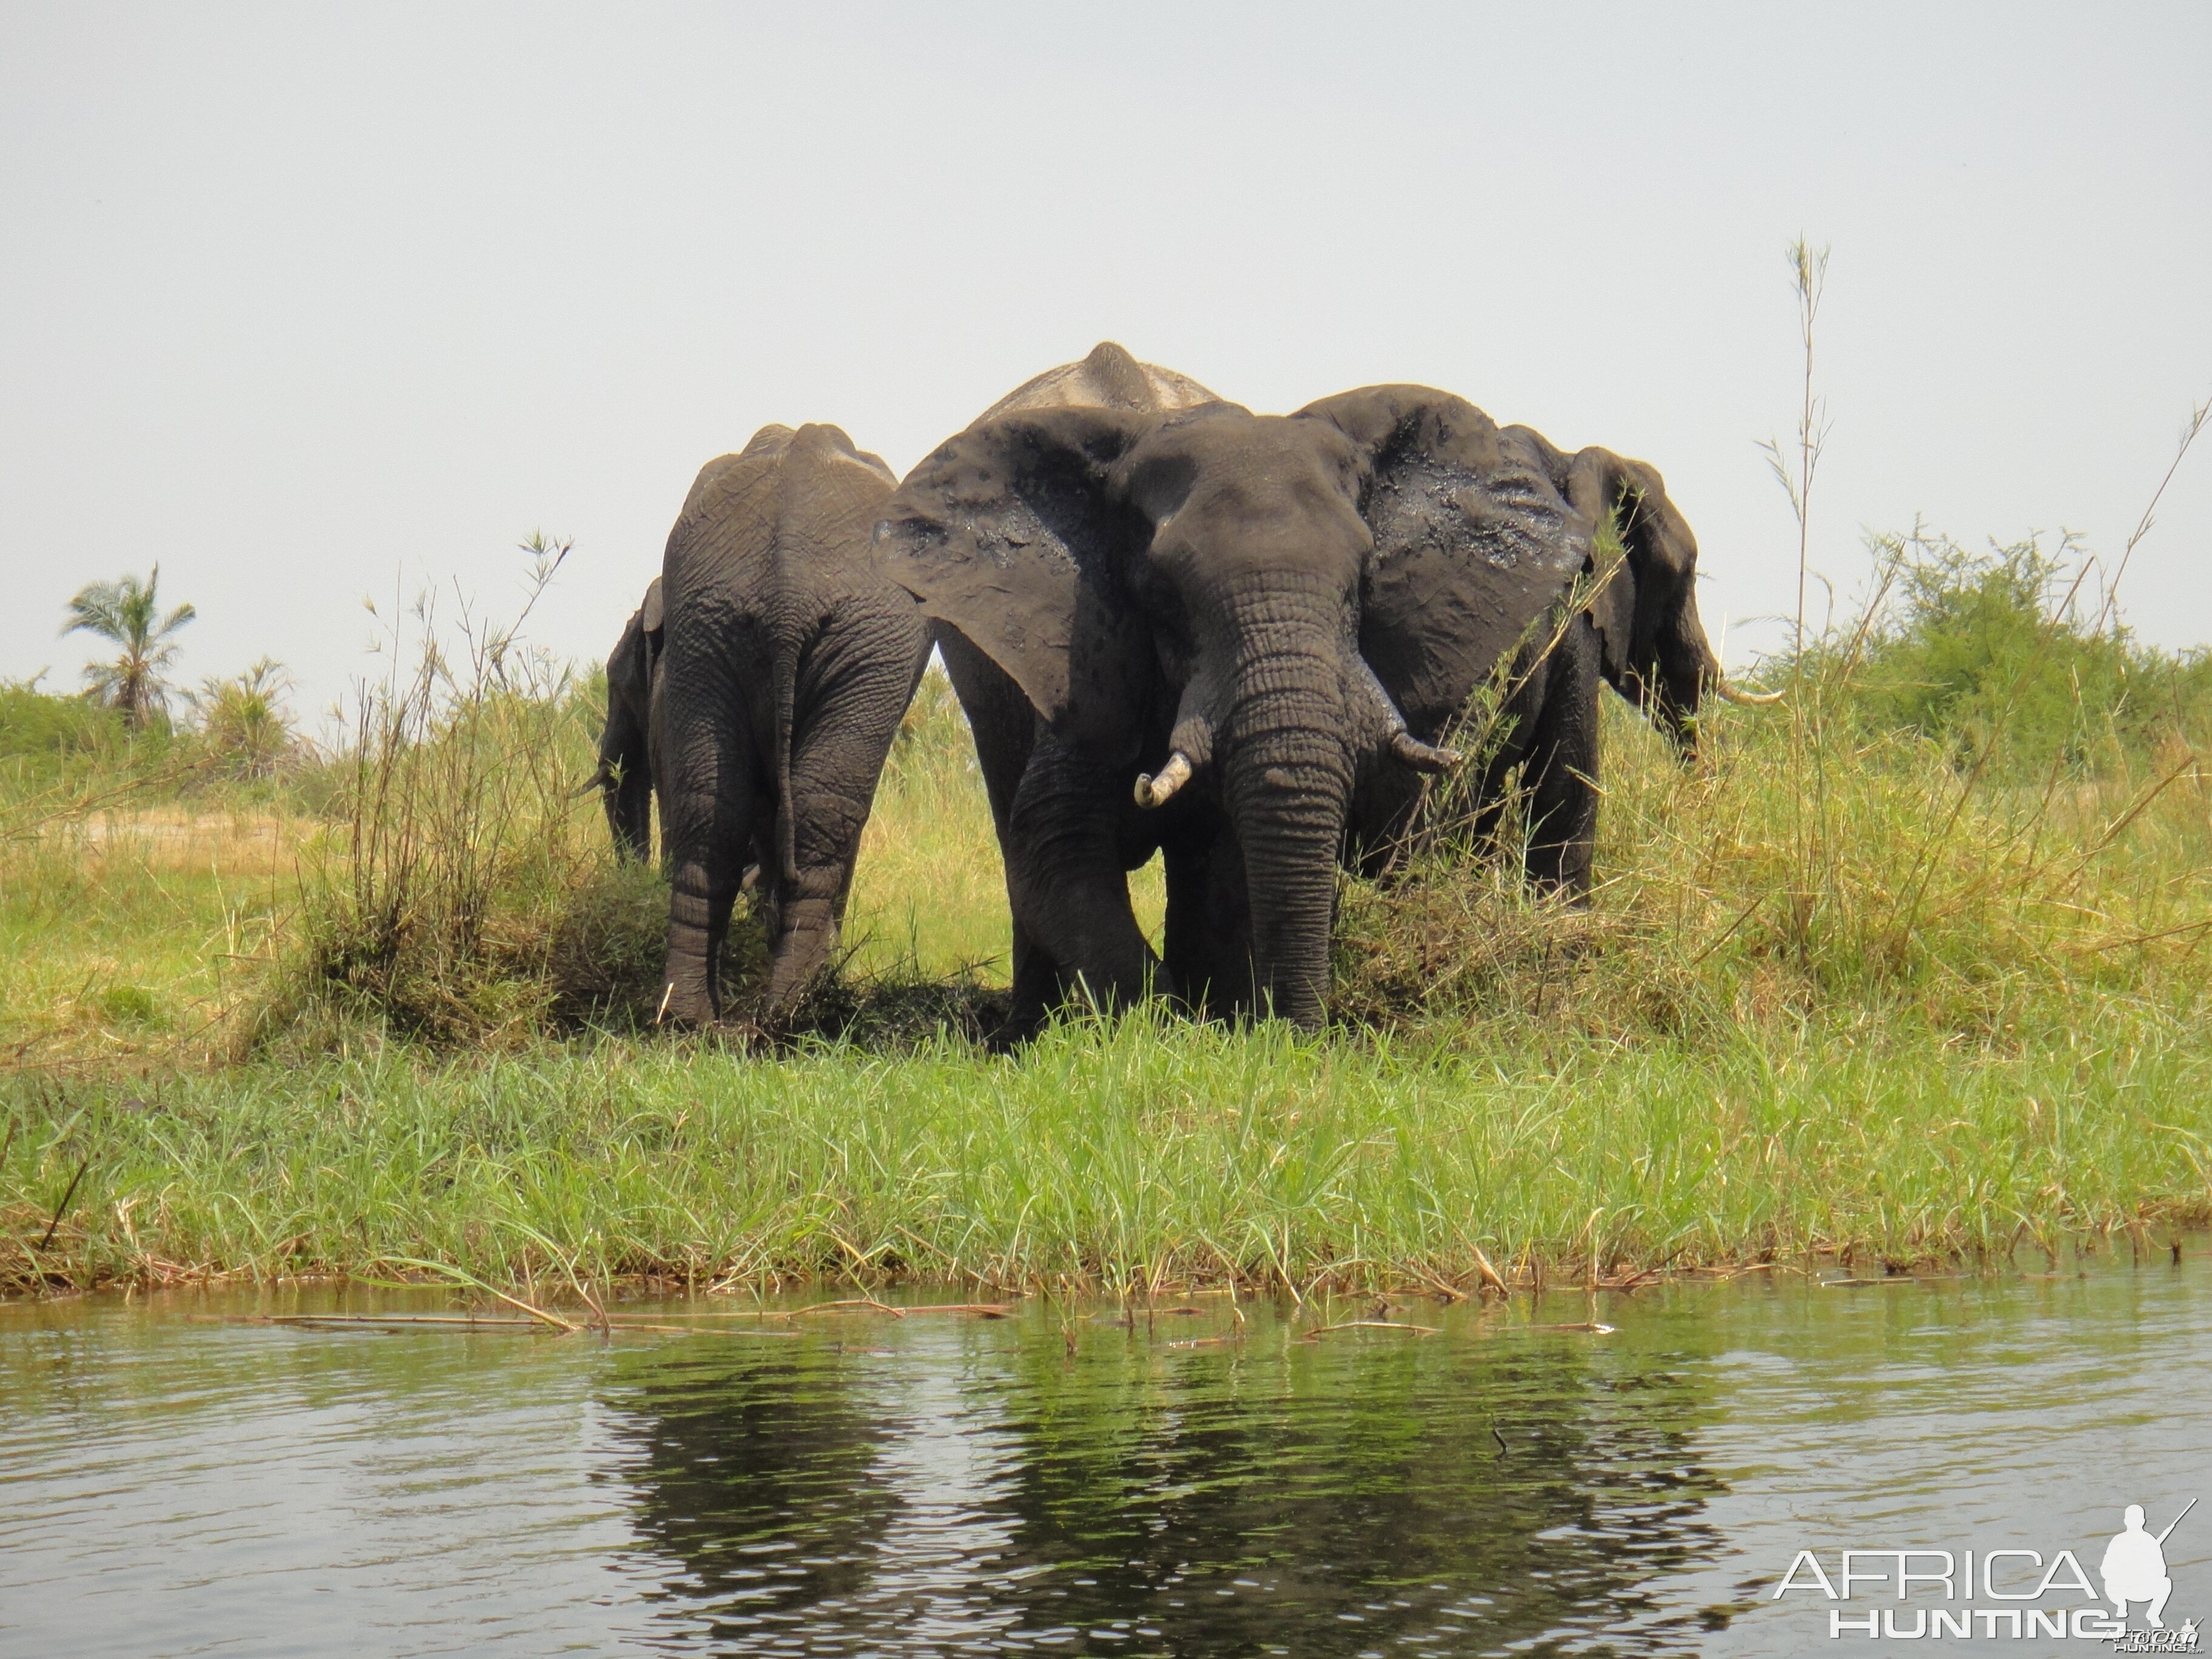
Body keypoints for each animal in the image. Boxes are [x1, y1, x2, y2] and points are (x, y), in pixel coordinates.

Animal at [654, 422, 933, 1026]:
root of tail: (787, 595)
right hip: (868, 640)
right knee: (824, 812)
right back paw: (794, 1009)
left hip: (707, 627)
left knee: (714, 811)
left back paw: (689, 1019)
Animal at [871, 389, 1769, 1039]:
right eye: (1161, 597)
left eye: (1362, 583)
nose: (1305, 1039)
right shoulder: (1087, 646)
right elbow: (1055, 833)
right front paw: (1178, 1027)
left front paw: (1225, 1021)